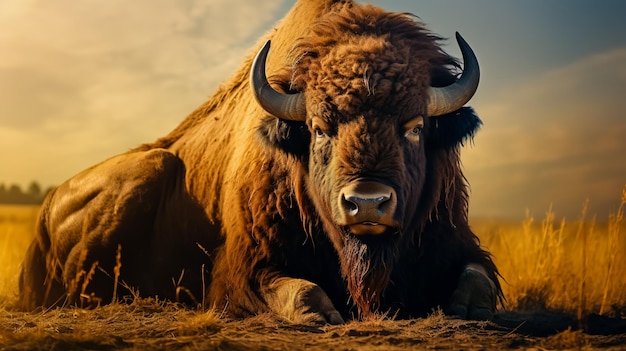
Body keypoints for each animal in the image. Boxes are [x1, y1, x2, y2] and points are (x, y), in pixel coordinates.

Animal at [17, 0, 500, 324]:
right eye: (319, 128)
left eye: (415, 126)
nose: (367, 203)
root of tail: (46, 210)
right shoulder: (243, 270)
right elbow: (304, 295)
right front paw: (326, 314)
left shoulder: (458, 243)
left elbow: (478, 282)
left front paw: (463, 307)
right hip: (147, 171)